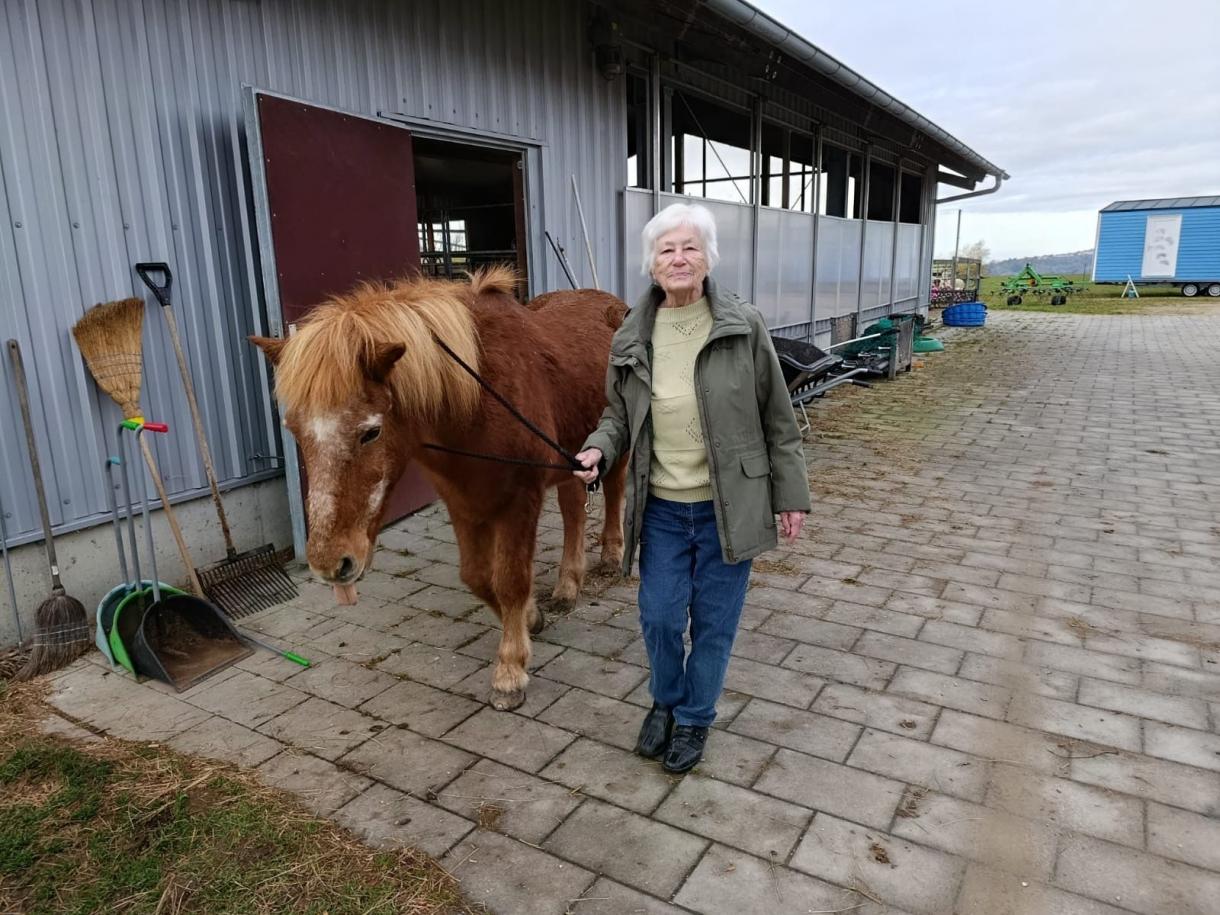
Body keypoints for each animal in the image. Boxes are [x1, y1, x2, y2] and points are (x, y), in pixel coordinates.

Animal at [251, 266, 628, 710]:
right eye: (293, 430)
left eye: (371, 432)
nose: (331, 564)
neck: (477, 401)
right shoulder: (461, 500)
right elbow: (478, 577)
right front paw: (531, 617)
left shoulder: (520, 500)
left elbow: (510, 578)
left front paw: (510, 671)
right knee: (572, 509)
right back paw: (568, 585)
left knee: (615, 491)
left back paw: (611, 555)